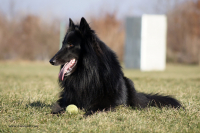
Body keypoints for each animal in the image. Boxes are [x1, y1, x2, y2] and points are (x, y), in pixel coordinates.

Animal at [49, 17, 181, 115]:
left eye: (71, 45)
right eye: (63, 44)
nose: (51, 61)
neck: (88, 74)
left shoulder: (110, 103)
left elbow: (96, 109)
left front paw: (87, 114)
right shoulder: (68, 100)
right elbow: (59, 108)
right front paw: (57, 112)